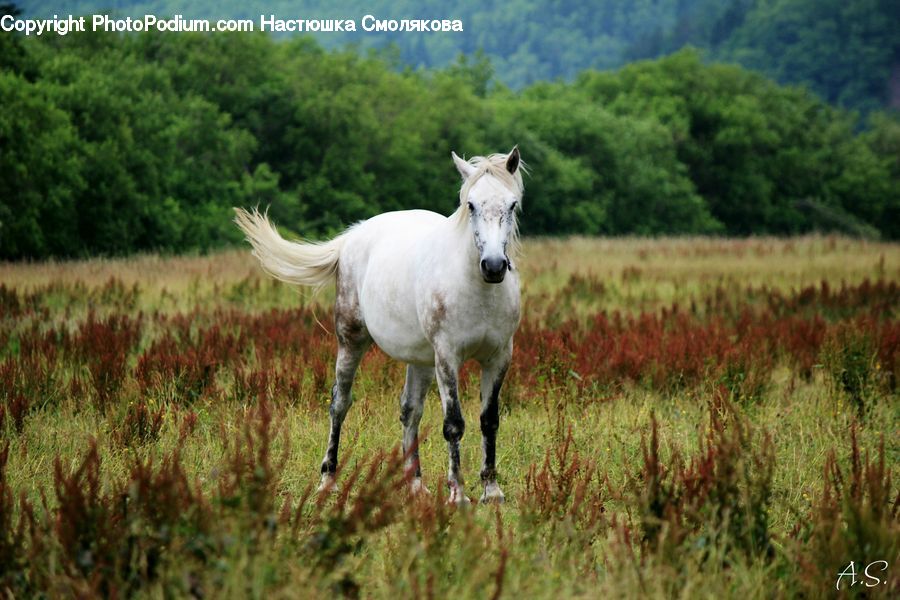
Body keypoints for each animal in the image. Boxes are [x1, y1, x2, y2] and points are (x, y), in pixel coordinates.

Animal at [234, 147, 524, 504]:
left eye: (512, 204)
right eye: (470, 205)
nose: (494, 266)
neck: (478, 289)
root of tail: (352, 237)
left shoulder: (498, 357)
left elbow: (489, 420)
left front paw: (491, 491)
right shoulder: (447, 357)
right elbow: (454, 423)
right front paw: (458, 495)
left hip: (420, 359)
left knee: (410, 411)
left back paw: (415, 485)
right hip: (351, 341)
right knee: (339, 403)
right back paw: (328, 480)